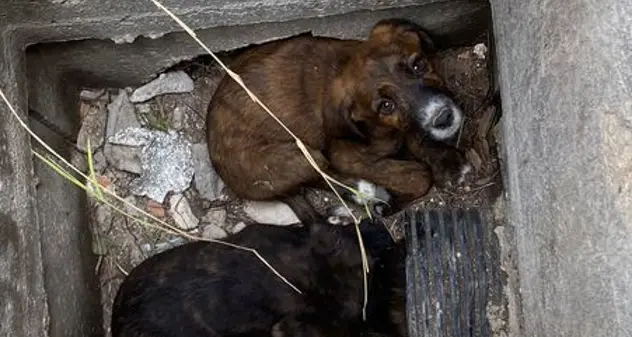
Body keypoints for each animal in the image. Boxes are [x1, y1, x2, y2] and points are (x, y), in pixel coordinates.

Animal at [207, 18, 470, 214]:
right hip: (296, 156)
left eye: (418, 65)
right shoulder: (344, 154)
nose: (443, 117)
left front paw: (446, 160)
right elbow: (418, 176)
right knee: (322, 176)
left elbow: (419, 138)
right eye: (386, 106)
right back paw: (365, 193)